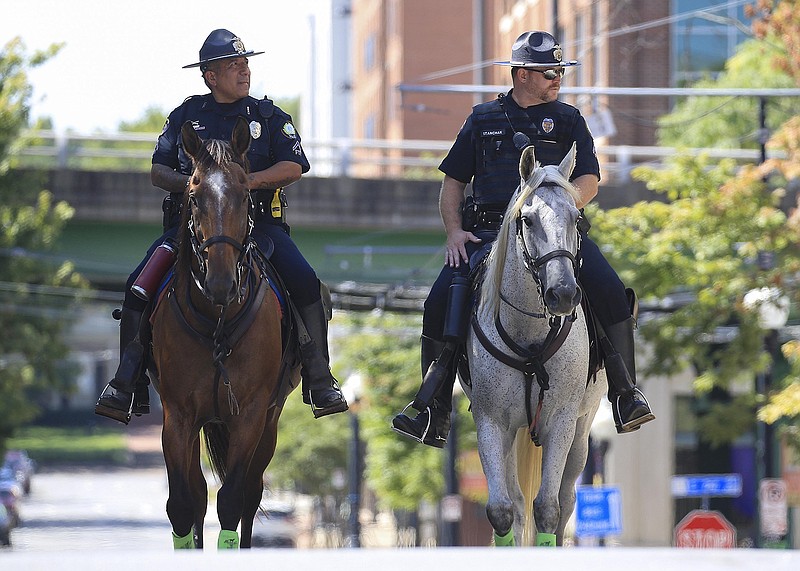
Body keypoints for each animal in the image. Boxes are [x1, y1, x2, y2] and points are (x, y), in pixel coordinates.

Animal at [150, 118, 300, 552]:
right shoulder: (178, 415)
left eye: (245, 194)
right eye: (195, 194)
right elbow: (183, 504)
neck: (216, 317)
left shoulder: (250, 415)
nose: (220, 282)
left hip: (270, 422)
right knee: (199, 495)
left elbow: (232, 500)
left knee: (250, 494)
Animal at [466, 143, 604, 544]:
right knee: (515, 501)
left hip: (583, 427)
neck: (529, 335)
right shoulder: (491, 421)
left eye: (576, 218)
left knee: (565, 500)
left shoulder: (561, 420)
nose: (563, 293)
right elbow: (501, 510)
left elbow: (547, 509)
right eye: (527, 220)